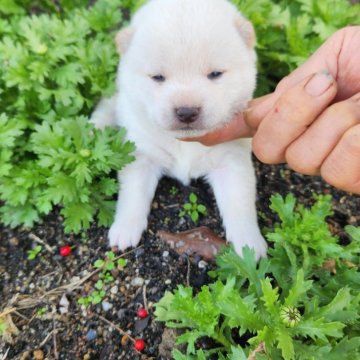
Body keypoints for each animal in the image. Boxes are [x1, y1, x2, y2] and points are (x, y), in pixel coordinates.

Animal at [91, 0, 268, 258]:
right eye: (157, 77)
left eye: (215, 74)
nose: (186, 111)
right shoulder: (140, 154)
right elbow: (133, 193)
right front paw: (124, 229)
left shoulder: (231, 159)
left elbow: (239, 202)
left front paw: (248, 244)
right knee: (108, 105)